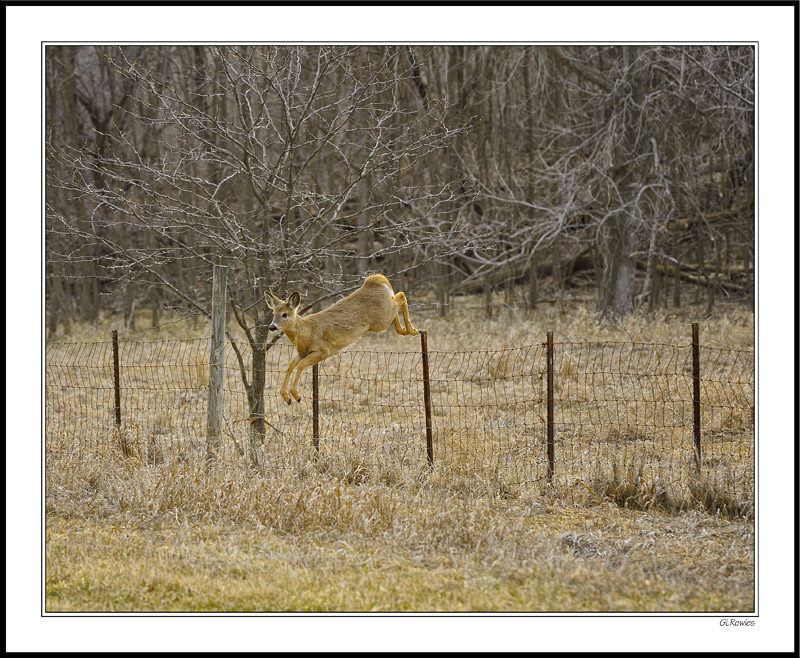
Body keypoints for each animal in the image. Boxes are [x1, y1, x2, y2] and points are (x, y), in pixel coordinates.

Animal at [266, 272, 422, 404]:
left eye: (285, 314)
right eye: (273, 313)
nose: (272, 326)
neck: (306, 332)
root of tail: (376, 280)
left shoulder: (323, 350)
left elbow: (301, 365)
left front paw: (296, 395)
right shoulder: (302, 352)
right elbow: (291, 365)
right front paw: (286, 396)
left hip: (380, 320)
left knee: (401, 296)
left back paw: (413, 330)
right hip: (383, 315)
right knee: (397, 299)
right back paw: (405, 330)